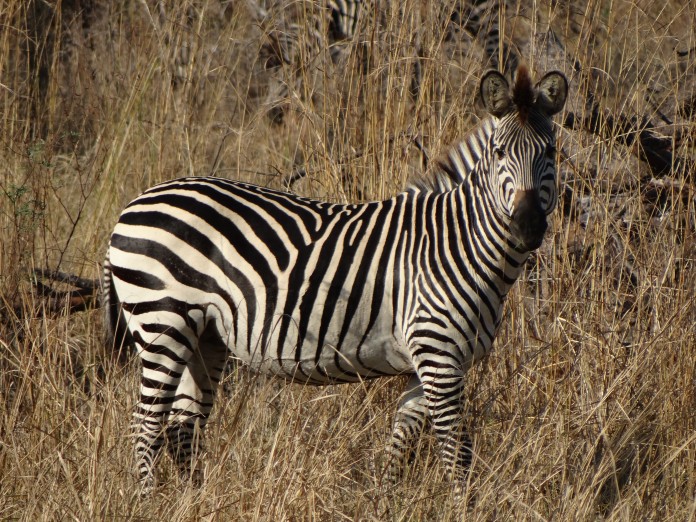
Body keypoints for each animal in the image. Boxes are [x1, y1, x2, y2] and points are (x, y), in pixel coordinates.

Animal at [106, 65, 568, 492]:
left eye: (551, 152)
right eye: (500, 152)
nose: (528, 227)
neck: (459, 244)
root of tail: (135, 202)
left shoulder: (428, 363)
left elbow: (400, 444)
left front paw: (386, 502)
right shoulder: (438, 355)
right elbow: (458, 454)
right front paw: (460, 507)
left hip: (205, 336)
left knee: (182, 424)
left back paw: (192, 499)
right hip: (162, 322)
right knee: (145, 424)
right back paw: (150, 500)